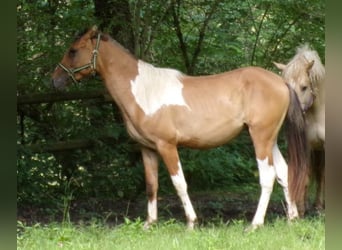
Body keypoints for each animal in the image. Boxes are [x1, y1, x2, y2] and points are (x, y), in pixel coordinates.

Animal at [52, 26, 308, 229]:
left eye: (73, 50)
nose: (54, 80)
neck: (144, 90)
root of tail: (281, 81)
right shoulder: (147, 149)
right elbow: (151, 185)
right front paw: (150, 223)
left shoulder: (167, 146)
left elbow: (179, 184)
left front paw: (191, 223)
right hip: (269, 140)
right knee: (284, 173)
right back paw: (292, 219)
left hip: (260, 138)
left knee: (268, 176)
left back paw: (255, 224)